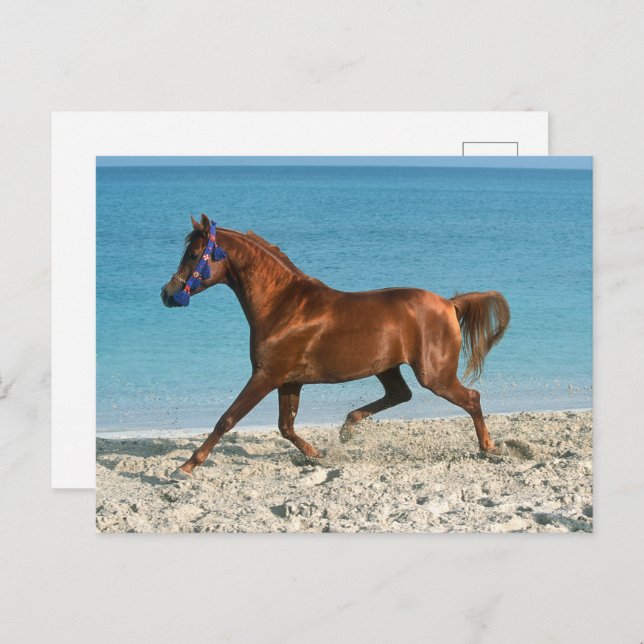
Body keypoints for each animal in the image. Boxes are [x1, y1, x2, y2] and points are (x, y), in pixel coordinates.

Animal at [160, 214, 510, 478]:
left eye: (193, 255)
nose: (167, 294)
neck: (282, 306)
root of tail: (449, 303)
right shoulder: (289, 381)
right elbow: (286, 427)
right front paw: (318, 455)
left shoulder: (266, 375)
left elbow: (227, 419)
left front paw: (186, 467)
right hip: (387, 367)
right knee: (400, 394)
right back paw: (348, 427)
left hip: (435, 375)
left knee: (471, 398)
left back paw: (490, 448)